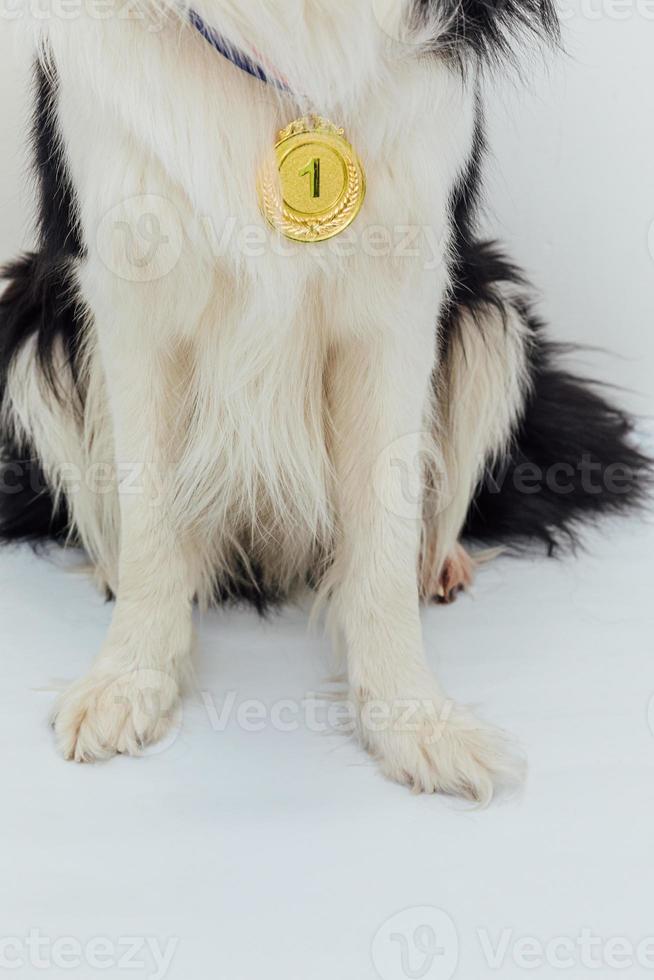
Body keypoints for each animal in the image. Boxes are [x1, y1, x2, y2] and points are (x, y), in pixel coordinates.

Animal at [0, 0, 648, 800]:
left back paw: (443, 564)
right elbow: (150, 522)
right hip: (29, 318)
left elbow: (382, 543)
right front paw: (128, 681)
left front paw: (414, 720)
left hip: (489, 307)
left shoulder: (401, 297)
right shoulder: (128, 285)